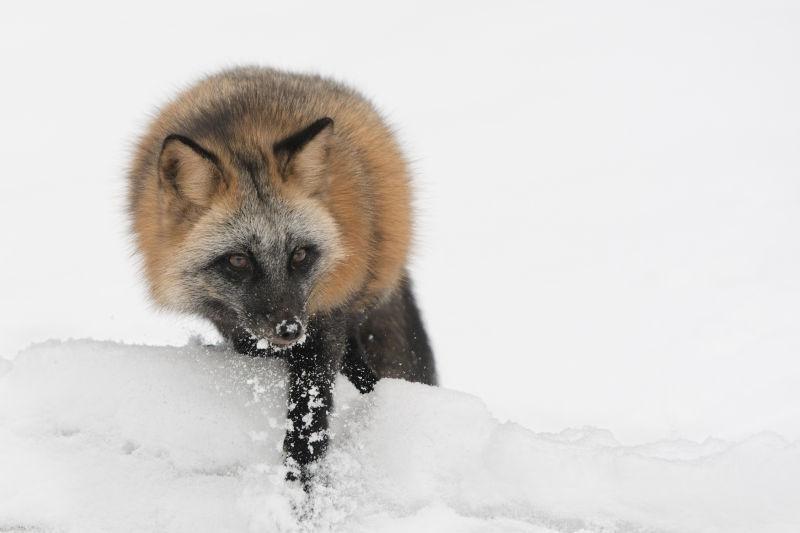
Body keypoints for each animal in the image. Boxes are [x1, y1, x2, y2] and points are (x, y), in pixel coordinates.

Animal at [127, 66, 434, 482]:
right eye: (238, 261)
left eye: (300, 255)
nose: (289, 329)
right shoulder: (233, 324)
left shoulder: (326, 317)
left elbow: (310, 412)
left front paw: (301, 483)